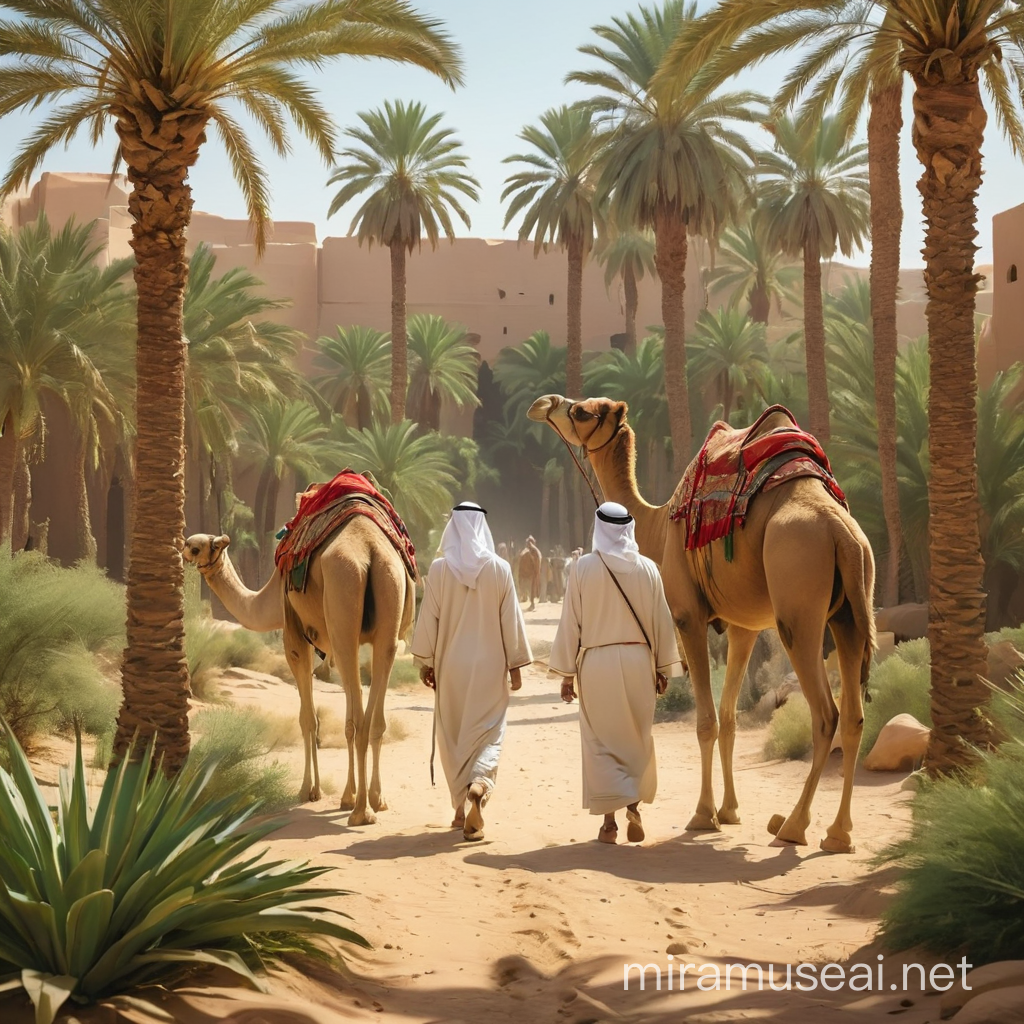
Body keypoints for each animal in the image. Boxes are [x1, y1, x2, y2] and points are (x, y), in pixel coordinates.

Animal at [184, 516, 411, 827]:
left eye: (194, 547)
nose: (181, 552)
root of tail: (370, 549)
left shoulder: (294, 638)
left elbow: (308, 720)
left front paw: (309, 790)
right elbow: (337, 717)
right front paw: (347, 794)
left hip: (343, 602)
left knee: (358, 720)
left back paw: (361, 813)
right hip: (390, 604)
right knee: (373, 715)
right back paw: (375, 800)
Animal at [532, 395, 876, 851]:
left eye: (583, 412)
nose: (544, 404)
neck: (657, 525)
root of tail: (841, 531)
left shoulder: (688, 617)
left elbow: (706, 721)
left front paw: (702, 815)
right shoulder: (743, 625)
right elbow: (728, 719)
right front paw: (729, 812)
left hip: (798, 611)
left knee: (826, 715)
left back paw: (793, 826)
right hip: (851, 609)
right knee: (854, 716)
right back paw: (838, 834)